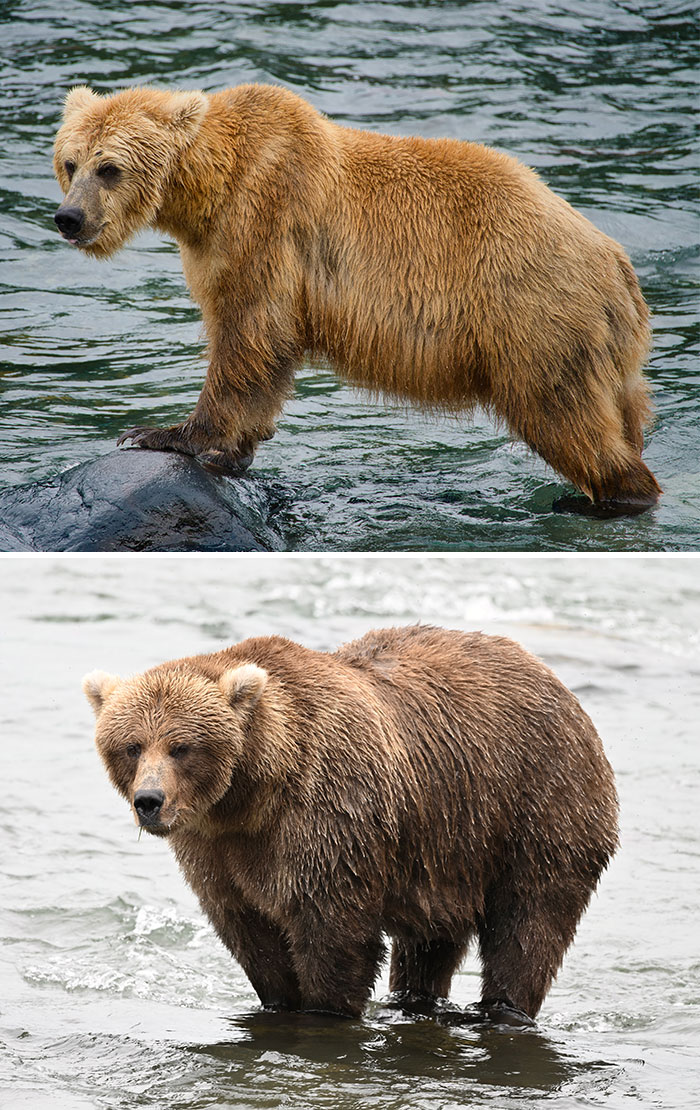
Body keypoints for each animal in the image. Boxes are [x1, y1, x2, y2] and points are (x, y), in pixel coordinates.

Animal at [53, 84, 661, 518]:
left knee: (563, 413)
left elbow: (250, 333)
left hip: (532, 313)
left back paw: (608, 497)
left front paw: (164, 434)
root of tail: (617, 264)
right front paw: (237, 448)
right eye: (69, 162)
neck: (208, 187)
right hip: (602, 346)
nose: (69, 218)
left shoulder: (264, 224)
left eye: (110, 168)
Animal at [83, 625, 618, 1020]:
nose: (149, 801)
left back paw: (503, 1008)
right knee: (430, 940)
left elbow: (334, 933)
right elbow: (250, 932)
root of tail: (556, 682)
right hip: (447, 843)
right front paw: (279, 1001)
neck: (252, 795)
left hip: (537, 804)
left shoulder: (328, 813)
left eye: (181, 746)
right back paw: (414, 1001)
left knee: (529, 923)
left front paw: (325, 1009)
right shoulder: (216, 848)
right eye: (131, 745)